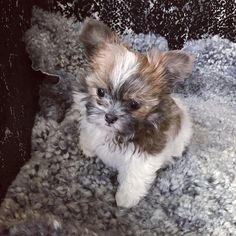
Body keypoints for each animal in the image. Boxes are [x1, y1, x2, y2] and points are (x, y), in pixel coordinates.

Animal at [74, 18, 194, 208]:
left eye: (134, 104)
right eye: (100, 92)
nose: (109, 117)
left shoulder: (145, 154)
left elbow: (135, 176)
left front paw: (125, 199)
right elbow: (88, 133)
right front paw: (88, 148)